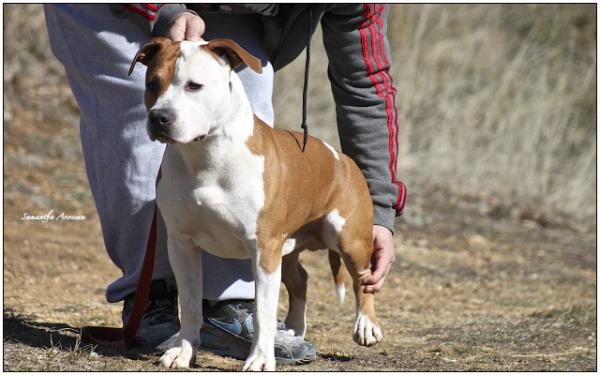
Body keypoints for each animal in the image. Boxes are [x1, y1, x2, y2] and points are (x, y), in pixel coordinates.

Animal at [130, 36, 384, 372]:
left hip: (348, 238)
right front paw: (184, 353)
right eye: (152, 83)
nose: (159, 117)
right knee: (300, 280)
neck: (206, 155)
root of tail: (341, 157)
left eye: (194, 86)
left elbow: (263, 311)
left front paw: (261, 359)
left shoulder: (263, 247)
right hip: (288, 247)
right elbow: (190, 304)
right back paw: (294, 331)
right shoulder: (182, 245)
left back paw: (365, 326)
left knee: (362, 280)